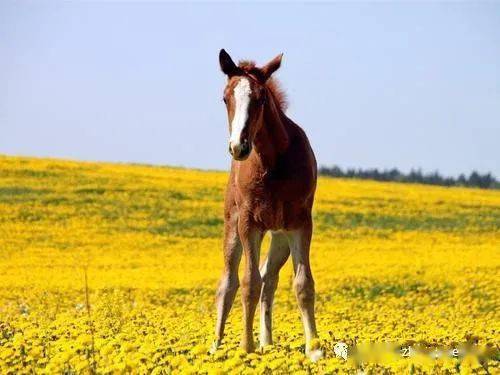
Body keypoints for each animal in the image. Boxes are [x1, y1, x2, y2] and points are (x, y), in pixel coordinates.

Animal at [213, 50, 322, 362]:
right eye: (225, 98)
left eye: (261, 98)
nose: (238, 147)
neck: (274, 162)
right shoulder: (249, 223)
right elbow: (248, 283)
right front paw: (245, 347)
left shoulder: (300, 223)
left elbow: (303, 284)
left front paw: (314, 349)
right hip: (233, 227)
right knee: (228, 283)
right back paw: (216, 347)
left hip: (279, 238)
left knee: (269, 278)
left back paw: (267, 343)